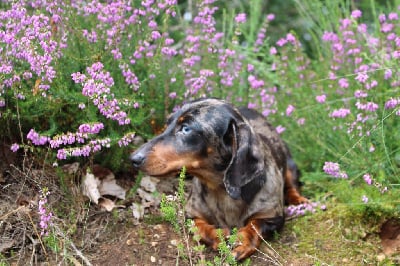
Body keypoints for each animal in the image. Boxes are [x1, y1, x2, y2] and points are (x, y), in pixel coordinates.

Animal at [131, 97, 306, 260]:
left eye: (186, 128)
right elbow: (200, 228)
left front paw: (242, 241)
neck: (221, 190)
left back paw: (301, 201)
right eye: (167, 124)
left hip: (290, 167)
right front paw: (220, 236)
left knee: (292, 187)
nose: (133, 159)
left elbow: (255, 225)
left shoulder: (273, 218)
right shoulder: (190, 215)